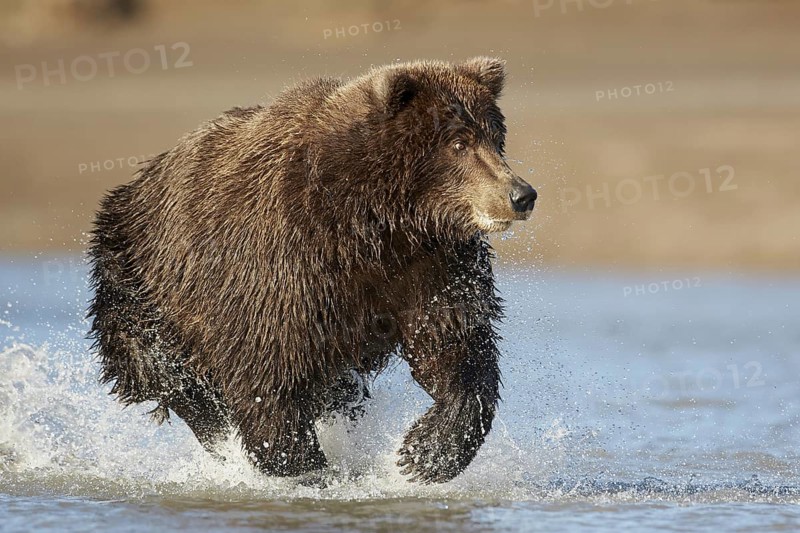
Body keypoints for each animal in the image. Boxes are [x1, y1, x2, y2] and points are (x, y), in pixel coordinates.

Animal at [88, 57, 537, 484]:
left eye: (495, 138)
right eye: (459, 141)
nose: (521, 194)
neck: (376, 223)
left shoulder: (431, 266)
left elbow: (453, 344)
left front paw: (423, 454)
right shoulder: (285, 262)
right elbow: (267, 371)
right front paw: (306, 467)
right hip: (139, 281)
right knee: (168, 374)